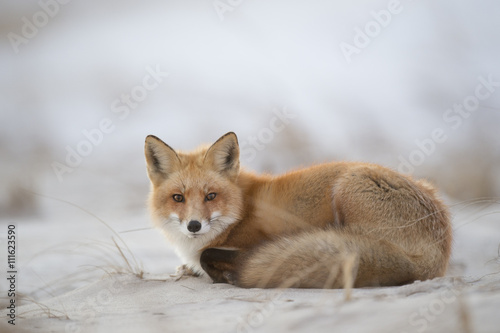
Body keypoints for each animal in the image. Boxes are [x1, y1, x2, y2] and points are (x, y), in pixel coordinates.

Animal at [145, 132, 454, 288]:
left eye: (211, 196)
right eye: (178, 198)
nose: (194, 225)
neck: (241, 209)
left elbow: (207, 256)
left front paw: (219, 272)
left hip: (347, 187)